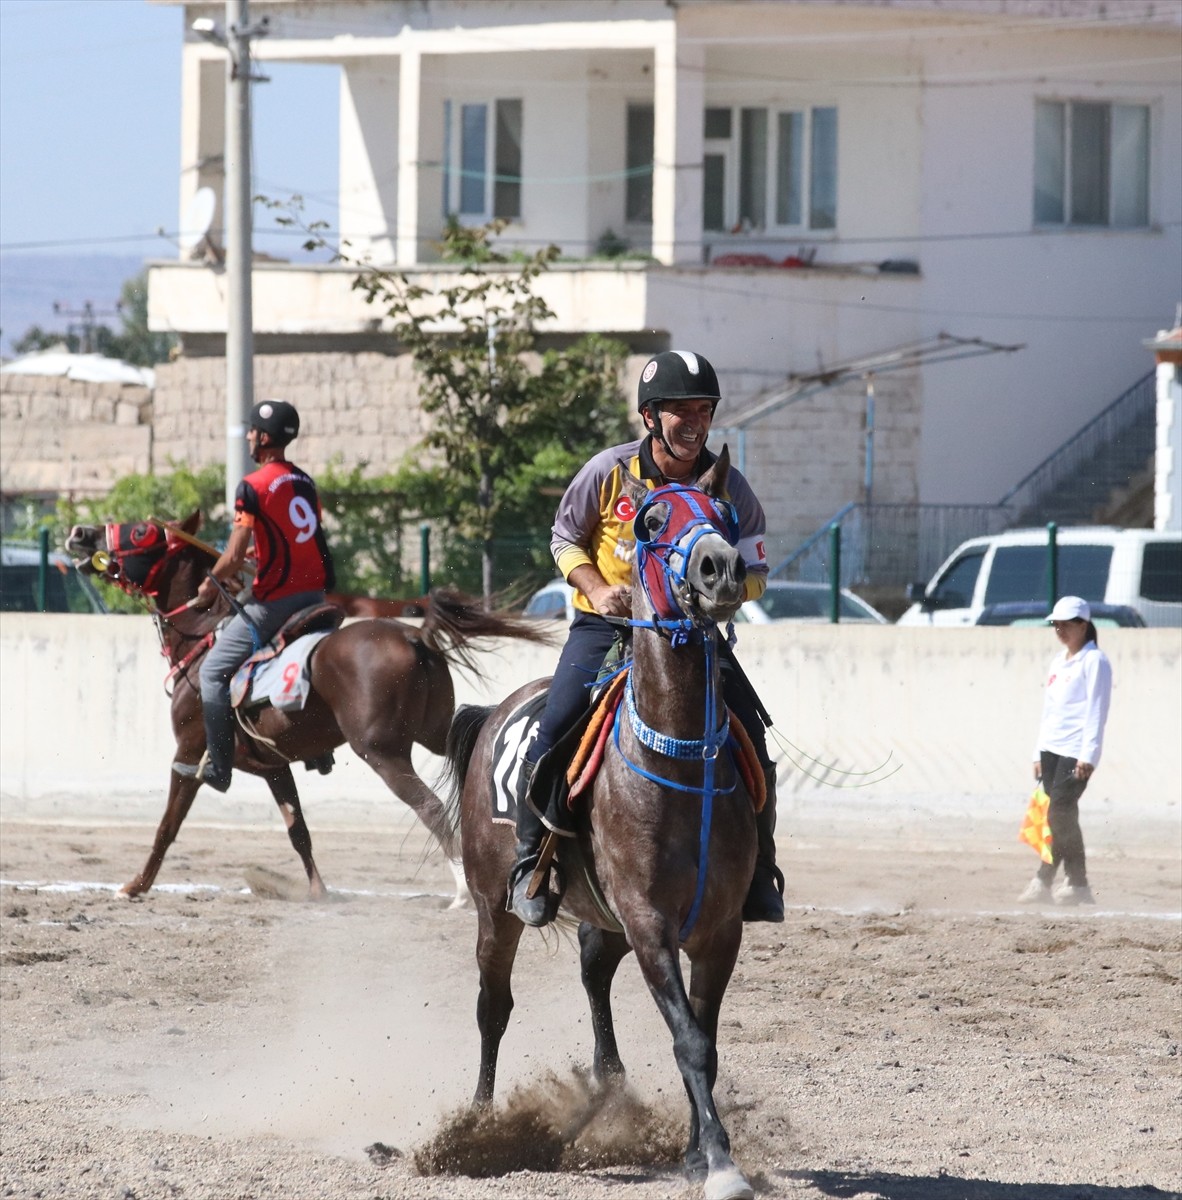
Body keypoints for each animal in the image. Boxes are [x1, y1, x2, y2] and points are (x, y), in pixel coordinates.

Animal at [62, 513, 547, 902]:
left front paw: (135, 885)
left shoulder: (188, 755)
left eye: (139, 531)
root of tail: (413, 635)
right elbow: (299, 831)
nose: (80, 534)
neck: (203, 638)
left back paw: (463, 889)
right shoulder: (275, 768)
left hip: (383, 752)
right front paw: (317, 891)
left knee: (430, 808)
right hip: (435, 732)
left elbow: (167, 826)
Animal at [441, 451, 758, 1200]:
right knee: (492, 1005)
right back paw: (479, 1124)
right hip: (494, 908)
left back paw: (606, 1088)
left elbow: (703, 1038)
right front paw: (719, 1161)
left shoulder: (718, 928)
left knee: (591, 971)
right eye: (651, 520)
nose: (721, 568)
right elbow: (689, 1039)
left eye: (727, 516)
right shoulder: (648, 923)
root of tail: (494, 712)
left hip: (600, 916)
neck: (677, 761)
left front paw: (698, 1151)